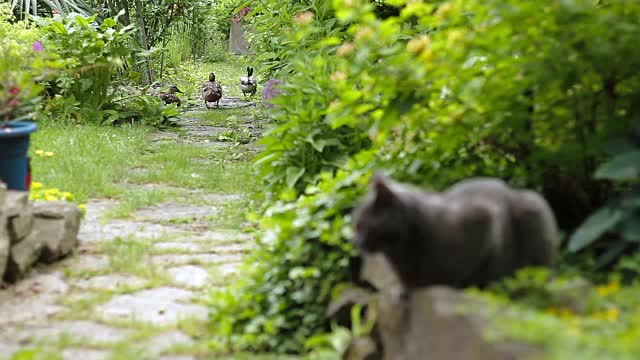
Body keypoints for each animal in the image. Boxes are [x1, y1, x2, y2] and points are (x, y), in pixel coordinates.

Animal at [352, 172, 556, 290]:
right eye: (355, 227)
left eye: (361, 225)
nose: (355, 242)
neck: (403, 250)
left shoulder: (483, 217)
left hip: (532, 206)